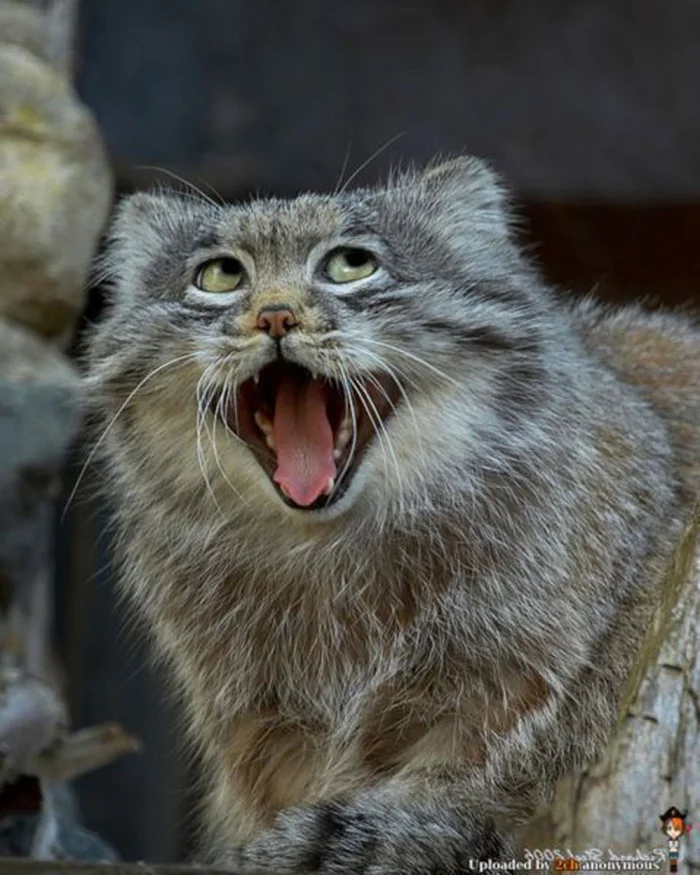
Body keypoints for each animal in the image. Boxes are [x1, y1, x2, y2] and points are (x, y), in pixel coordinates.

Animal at [83, 156, 699, 873]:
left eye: (351, 264)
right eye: (219, 276)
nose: (275, 317)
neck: (326, 557)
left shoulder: (523, 685)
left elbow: (490, 778)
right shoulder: (267, 726)